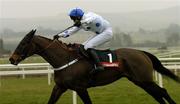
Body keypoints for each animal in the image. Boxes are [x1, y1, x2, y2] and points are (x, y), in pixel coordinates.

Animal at [9, 29, 179, 103]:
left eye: (23, 43)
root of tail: (142, 52)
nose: (11, 59)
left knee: (162, 92)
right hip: (140, 81)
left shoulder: (80, 88)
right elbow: (50, 102)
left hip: (144, 79)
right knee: (157, 94)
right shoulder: (60, 87)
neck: (64, 59)